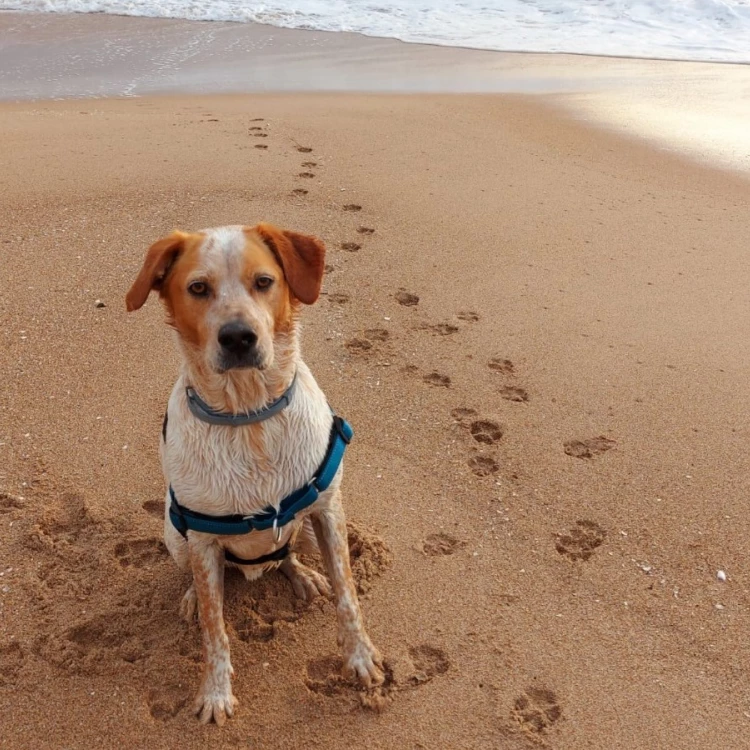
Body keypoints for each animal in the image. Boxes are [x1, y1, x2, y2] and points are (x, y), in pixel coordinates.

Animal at [126, 225, 384, 728]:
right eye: (198, 288)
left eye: (264, 281)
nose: (239, 337)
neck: (248, 419)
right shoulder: (202, 539)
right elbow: (215, 629)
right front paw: (215, 692)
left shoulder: (328, 511)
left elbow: (348, 595)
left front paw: (360, 657)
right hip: (175, 537)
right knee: (205, 579)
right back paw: (194, 595)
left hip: (308, 533)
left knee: (286, 554)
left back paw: (302, 575)